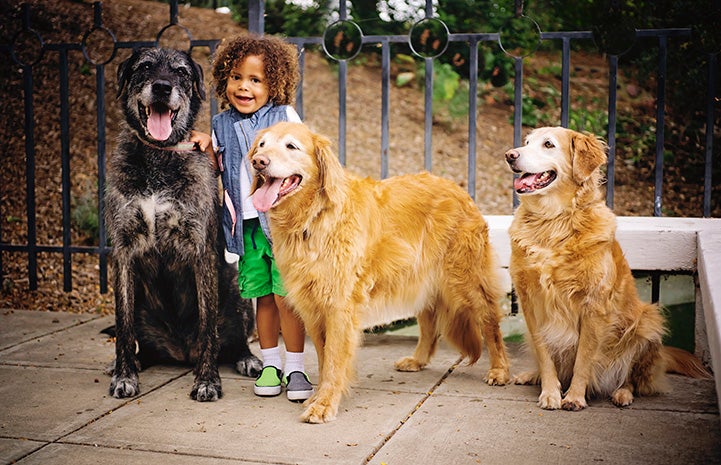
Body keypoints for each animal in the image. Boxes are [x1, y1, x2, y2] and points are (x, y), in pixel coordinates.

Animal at [105, 49, 262, 400]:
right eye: (145, 66)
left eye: (180, 72)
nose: (162, 87)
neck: (159, 157)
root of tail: (181, 353)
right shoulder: (122, 253)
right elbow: (123, 325)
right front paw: (124, 375)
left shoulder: (200, 251)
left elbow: (207, 325)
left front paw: (207, 380)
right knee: (139, 341)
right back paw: (136, 361)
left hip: (236, 289)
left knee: (234, 340)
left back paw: (247, 359)